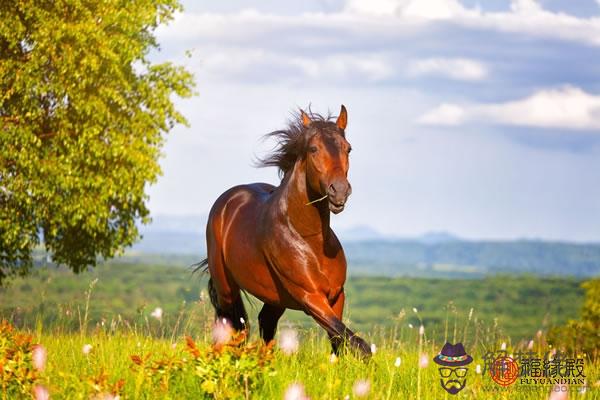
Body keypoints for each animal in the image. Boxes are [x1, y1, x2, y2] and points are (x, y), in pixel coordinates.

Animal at [198, 104, 370, 358]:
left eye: (348, 148)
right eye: (313, 149)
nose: (339, 191)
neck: (310, 239)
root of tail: (226, 201)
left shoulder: (336, 296)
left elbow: (340, 340)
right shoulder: (310, 297)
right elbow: (358, 343)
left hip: (275, 298)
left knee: (265, 323)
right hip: (226, 288)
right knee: (231, 327)